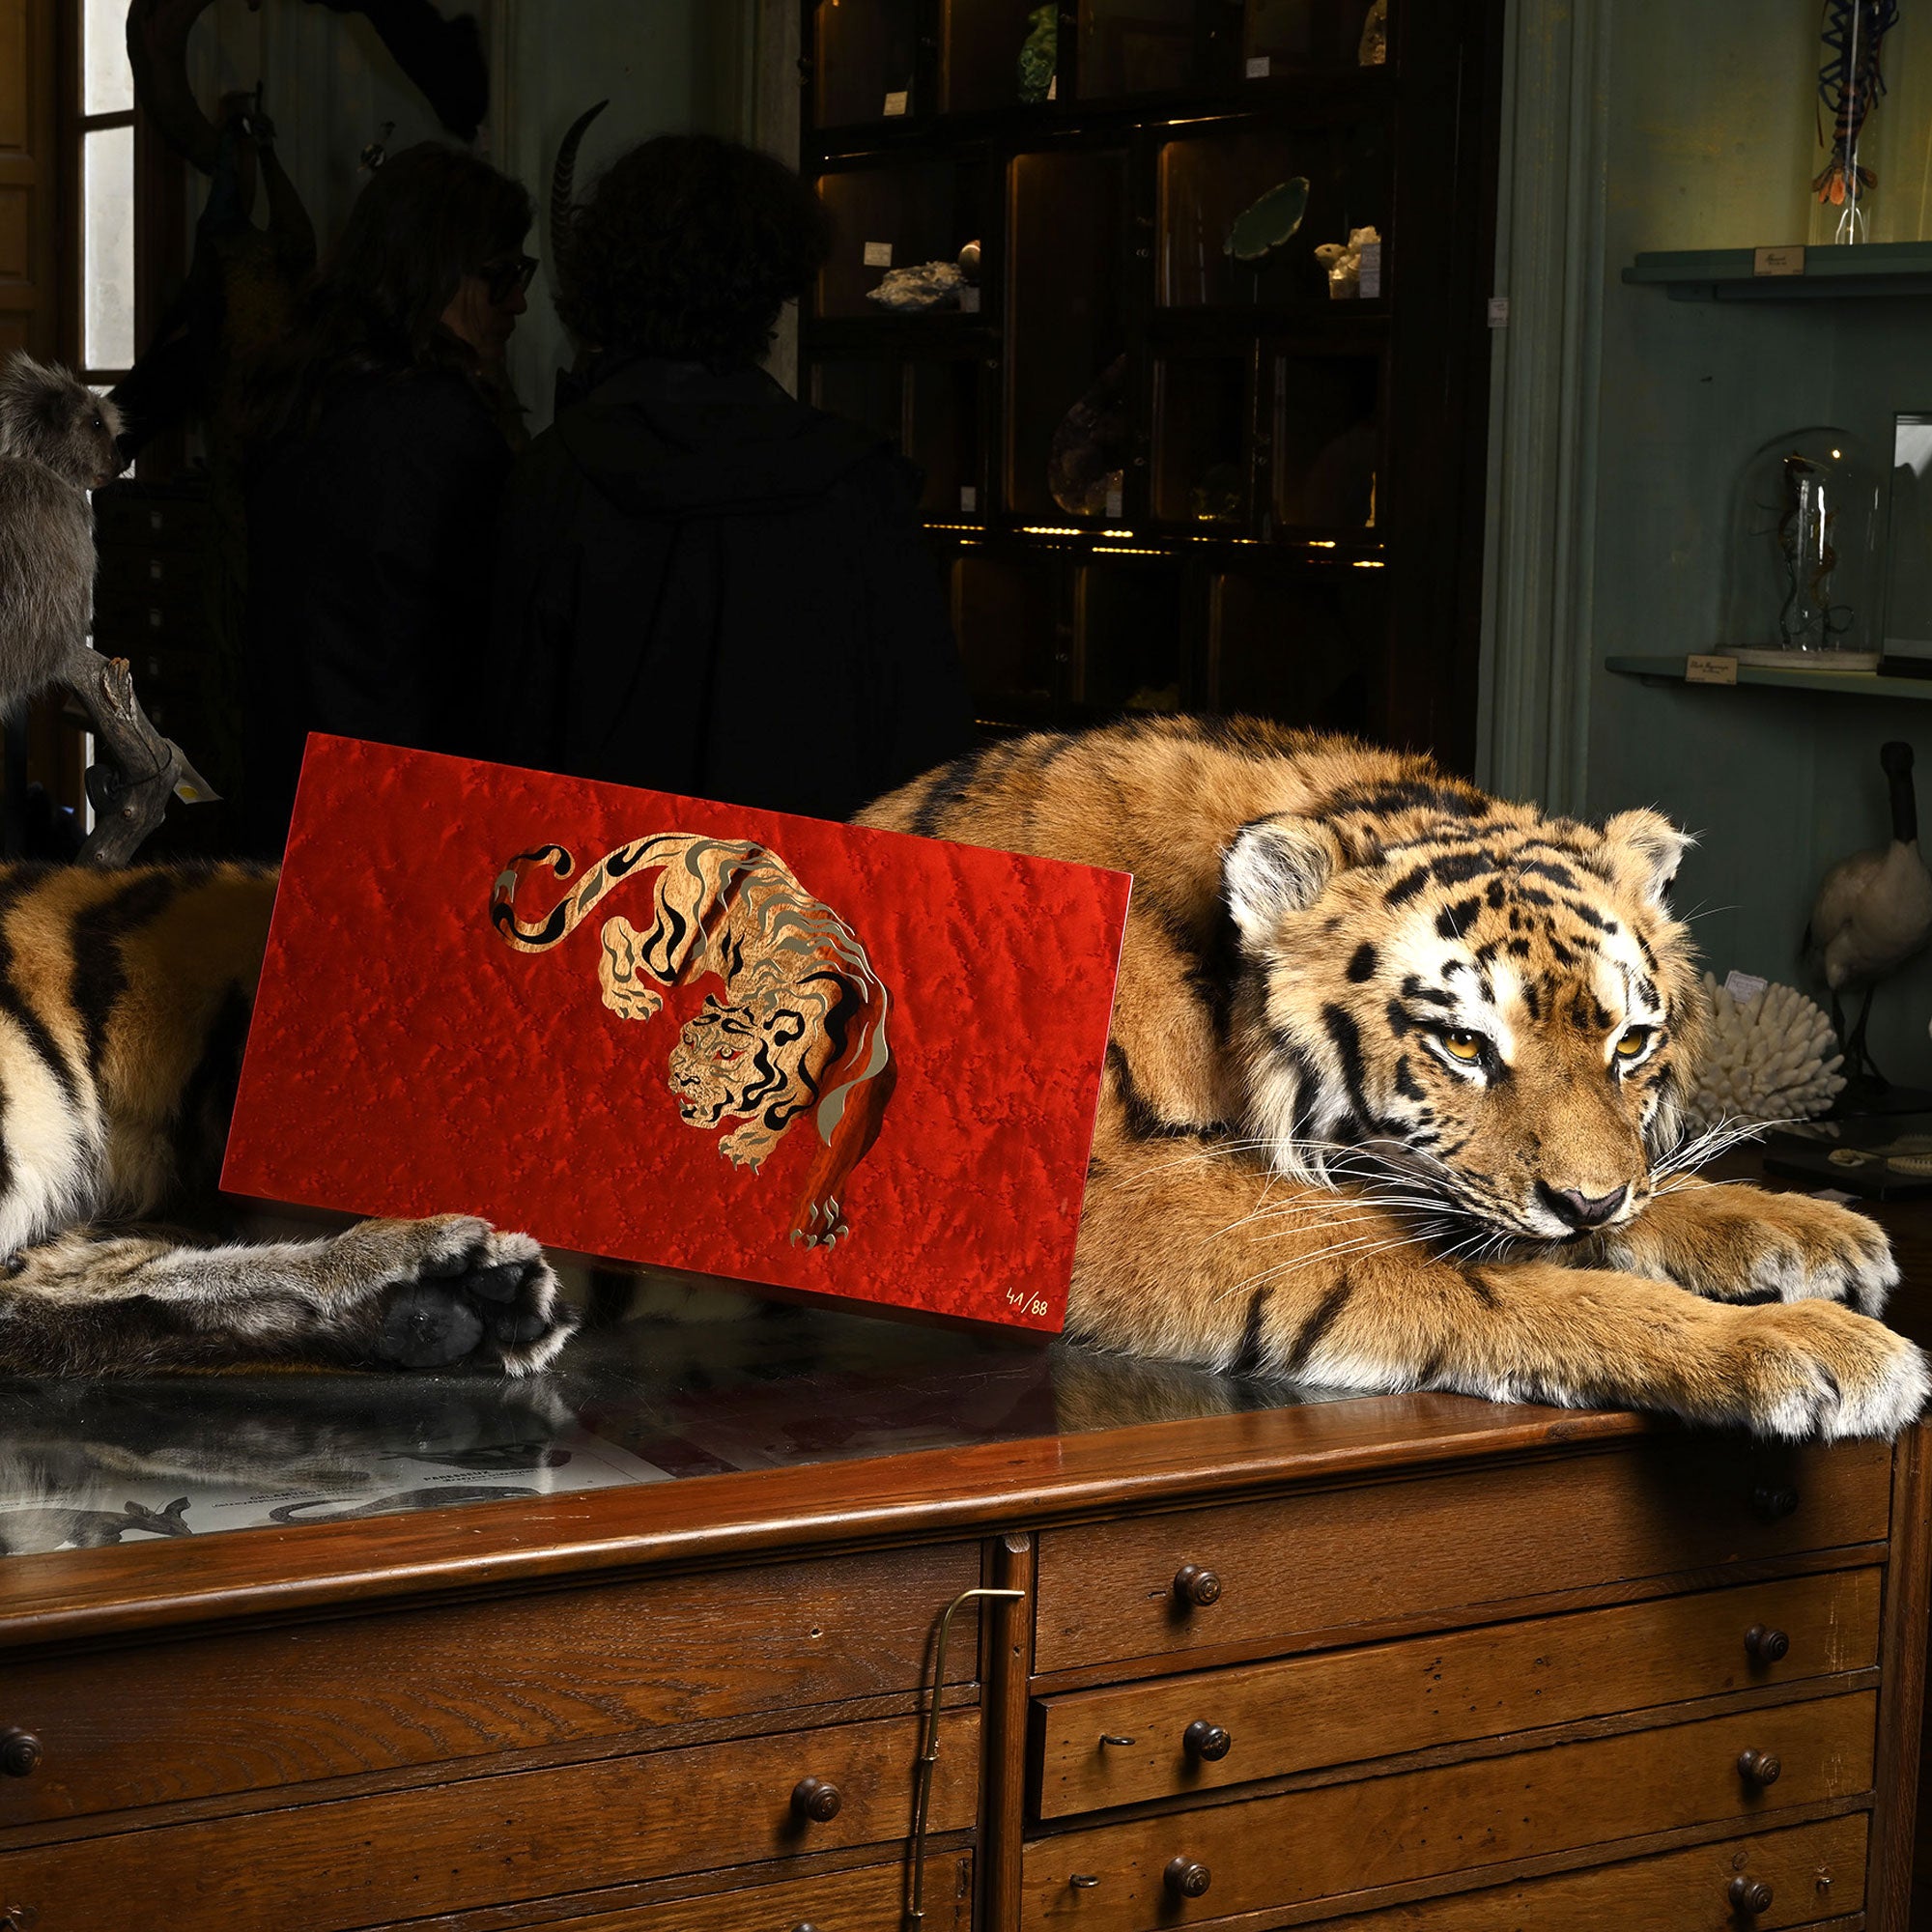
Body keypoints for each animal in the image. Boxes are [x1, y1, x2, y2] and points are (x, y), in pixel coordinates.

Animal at [857, 714, 1929, 1441]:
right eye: (1463, 1045)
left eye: (1627, 1043)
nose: (1587, 1204)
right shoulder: (1132, 1201)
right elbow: (1499, 1286)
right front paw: (1806, 1347)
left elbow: (1647, 1195)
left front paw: (1810, 1227)